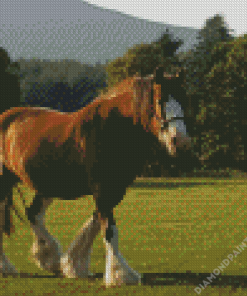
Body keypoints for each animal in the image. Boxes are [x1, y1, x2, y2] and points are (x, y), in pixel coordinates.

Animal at [0, 68, 189, 286]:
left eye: (184, 99)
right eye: (160, 100)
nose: (180, 142)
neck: (114, 128)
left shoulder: (114, 189)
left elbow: (96, 222)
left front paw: (74, 265)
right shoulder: (102, 189)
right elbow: (108, 229)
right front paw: (119, 275)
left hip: (47, 185)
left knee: (34, 214)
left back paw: (49, 258)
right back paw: (7, 266)